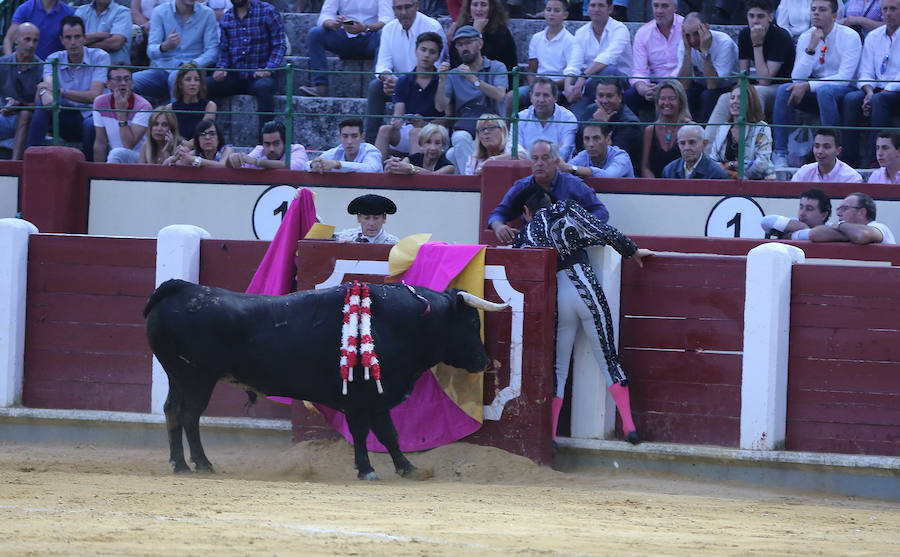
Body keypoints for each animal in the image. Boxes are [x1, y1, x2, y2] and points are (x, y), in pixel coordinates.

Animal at [141, 280, 506, 480]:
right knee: (188, 414)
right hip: (195, 378)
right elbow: (363, 433)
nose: (483, 361)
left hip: (181, 377)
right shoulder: (360, 398)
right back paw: (193, 464)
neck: (405, 322)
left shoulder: (378, 397)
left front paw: (409, 469)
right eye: (472, 323)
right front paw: (366, 469)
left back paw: (187, 464)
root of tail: (181, 288)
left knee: (175, 412)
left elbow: (390, 435)